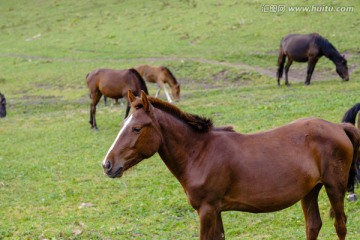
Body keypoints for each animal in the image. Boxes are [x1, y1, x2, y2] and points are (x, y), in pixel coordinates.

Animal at [102, 90, 358, 240]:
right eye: (123, 125)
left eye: (136, 128)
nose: (107, 164)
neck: (200, 153)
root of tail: (339, 127)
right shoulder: (216, 210)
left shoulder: (206, 210)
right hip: (310, 190)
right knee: (313, 225)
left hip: (335, 188)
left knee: (340, 225)